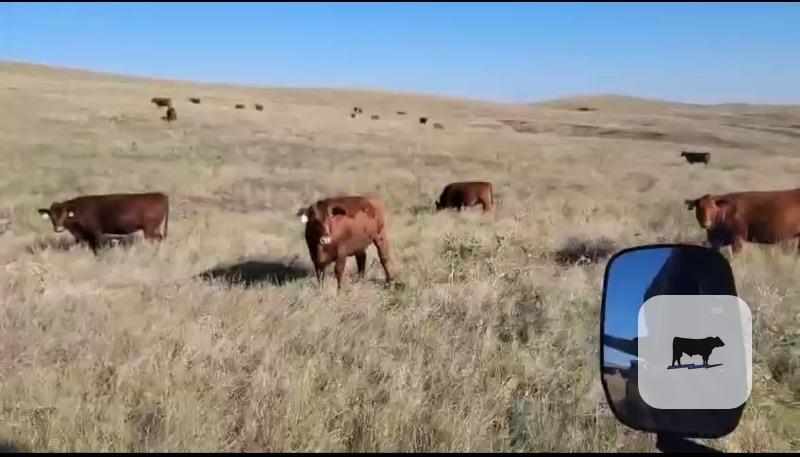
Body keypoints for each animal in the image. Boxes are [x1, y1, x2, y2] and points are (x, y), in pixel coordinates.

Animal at [38, 192, 169, 255]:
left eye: (65, 214)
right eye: (52, 216)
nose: (58, 228)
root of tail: (160, 195)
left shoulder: (96, 233)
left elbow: (97, 249)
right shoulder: (81, 236)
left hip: (150, 228)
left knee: (158, 239)